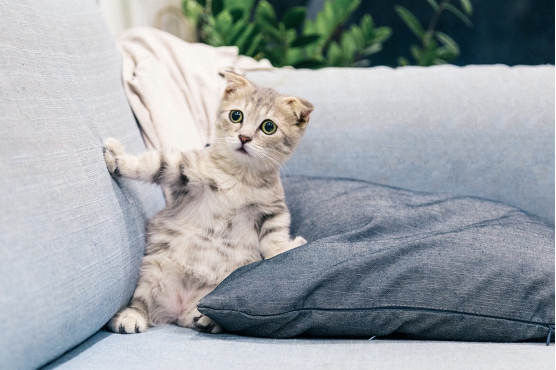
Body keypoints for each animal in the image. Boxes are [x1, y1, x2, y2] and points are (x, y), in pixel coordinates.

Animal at [104, 71, 312, 334]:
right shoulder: (184, 170)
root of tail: (178, 307)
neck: (240, 176)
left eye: (268, 127)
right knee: (141, 302)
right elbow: (153, 164)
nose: (244, 137)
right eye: (236, 115)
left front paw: (284, 249)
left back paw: (204, 319)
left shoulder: (273, 210)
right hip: (153, 271)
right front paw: (117, 159)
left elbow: (274, 237)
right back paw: (130, 317)